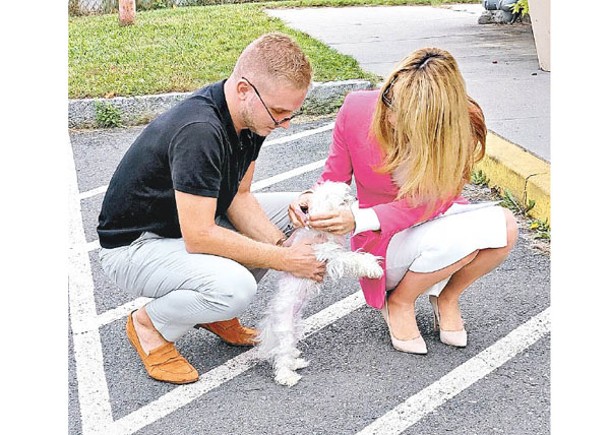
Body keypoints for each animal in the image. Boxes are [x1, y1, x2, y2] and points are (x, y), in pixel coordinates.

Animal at [255, 182, 380, 386]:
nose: (355, 199)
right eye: (343, 201)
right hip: (285, 326)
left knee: (288, 349)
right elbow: (352, 258)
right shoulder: (328, 255)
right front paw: (373, 267)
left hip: (296, 323)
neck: (319, 232)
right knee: (281, 354)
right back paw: (287, 376)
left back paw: (296, 361)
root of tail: (273, 315)